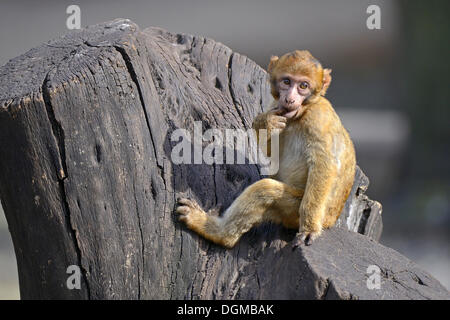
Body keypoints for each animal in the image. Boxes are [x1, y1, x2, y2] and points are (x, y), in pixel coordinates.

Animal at [176, 50, 356, 248]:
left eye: (303, 86)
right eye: (286, 82)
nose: (290, 99)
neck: (302, 113)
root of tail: (332, 220)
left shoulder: (318, 119)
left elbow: (324, 165)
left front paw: (309, 229)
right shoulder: (276, 108)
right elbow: (272, 151)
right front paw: (264, 122)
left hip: (296, 211)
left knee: (266, 191)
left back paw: (216, 232)